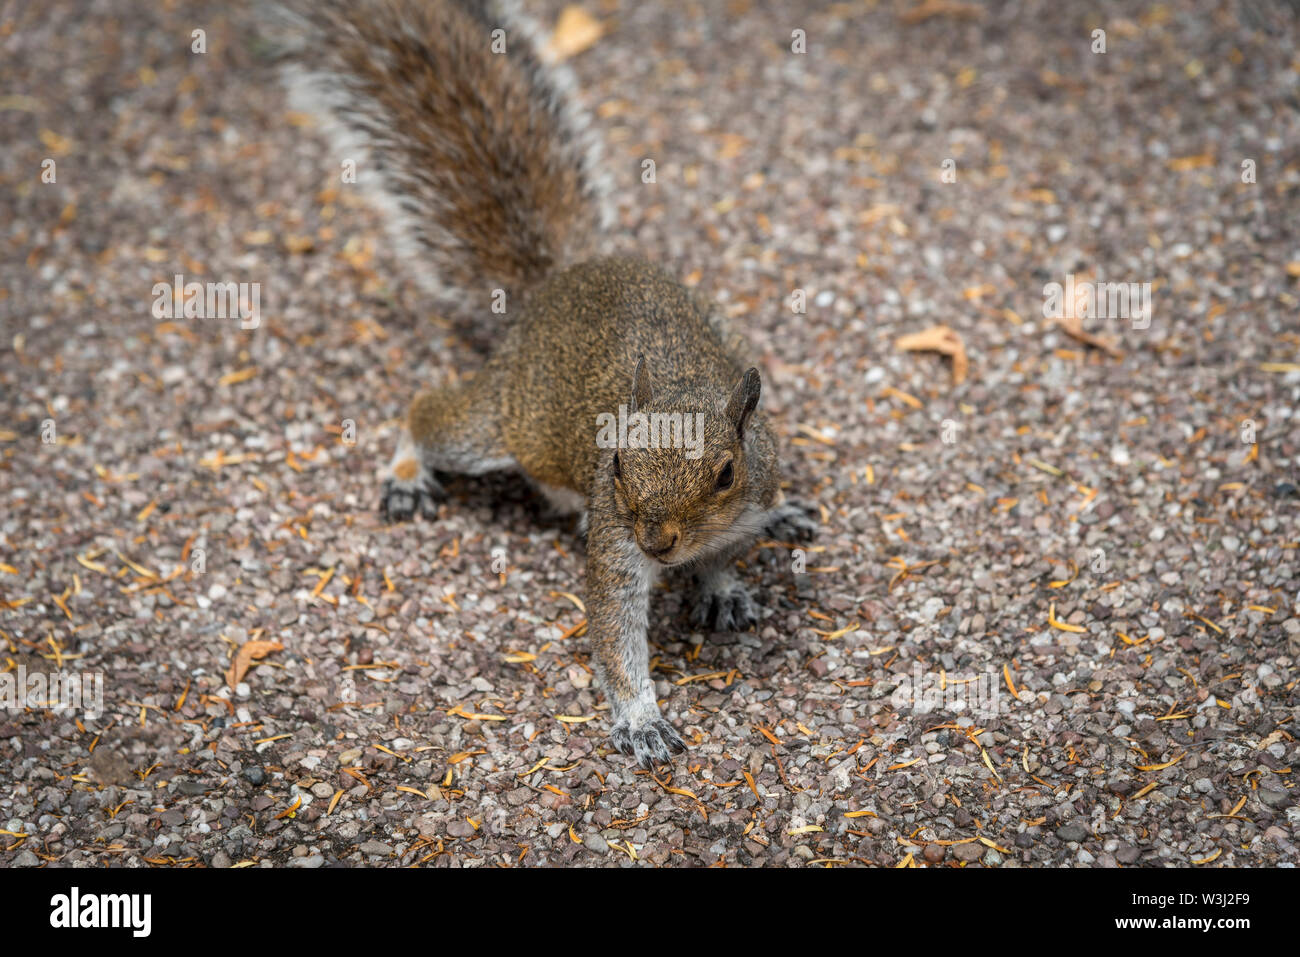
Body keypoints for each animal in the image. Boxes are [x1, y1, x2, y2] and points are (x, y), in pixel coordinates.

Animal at [271, 0, 818, 770]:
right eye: (615, 463)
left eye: (725, 474)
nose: (658, 542)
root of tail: (556, 284)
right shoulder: (616, 540)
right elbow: (615, 630)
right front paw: (641, 717)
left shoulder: (751, 490)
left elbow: (727, 553)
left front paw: (722, 586)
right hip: (500, 419)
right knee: (428, 413)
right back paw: (407, 473)